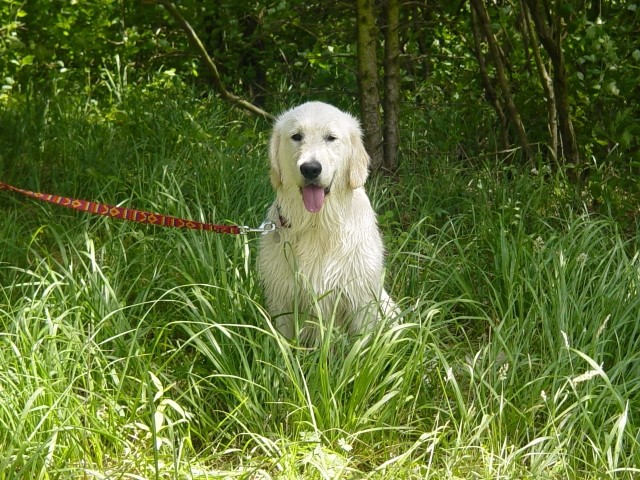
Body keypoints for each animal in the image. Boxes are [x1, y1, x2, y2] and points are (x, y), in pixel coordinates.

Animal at [258, 101, 398, 342]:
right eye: (296, 136)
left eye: (331, 138)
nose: (310, 168)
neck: (317, 224)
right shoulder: (282, 300)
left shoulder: (360, 301)